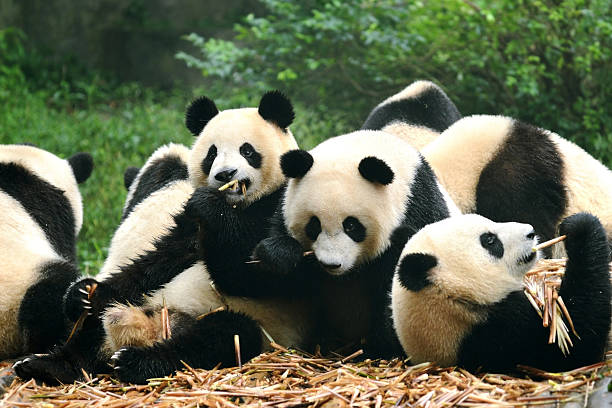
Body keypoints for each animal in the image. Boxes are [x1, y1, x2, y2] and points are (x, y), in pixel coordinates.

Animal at [250, 130, 460, 356]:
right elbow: (278, 285)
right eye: (314, 225)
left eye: (351, 225)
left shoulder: (417, 209)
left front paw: (381, 346)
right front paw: (280, 255)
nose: (331, 264)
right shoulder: (283, 211)